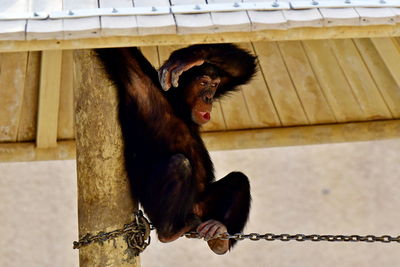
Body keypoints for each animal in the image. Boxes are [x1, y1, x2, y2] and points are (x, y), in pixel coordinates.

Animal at [97, 44, 256, 255]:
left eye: (214, 85)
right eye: (203, 83)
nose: (209, 98)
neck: (178, 103)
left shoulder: (225, 83)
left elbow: (243, 69)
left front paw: (188, 57)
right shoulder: (138, 81)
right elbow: (118, 52)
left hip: (204, 206)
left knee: (239, 180)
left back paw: (220, 233)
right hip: (156, 209)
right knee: (179, 164)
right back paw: (170, 231)